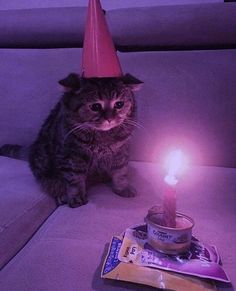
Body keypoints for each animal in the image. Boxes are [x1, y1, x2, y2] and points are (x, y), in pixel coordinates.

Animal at [0, 74, 142, 209]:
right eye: (95, 106)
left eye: (119, 104)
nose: (110, 119)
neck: (103, 137)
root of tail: (32, 148)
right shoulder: (71, 157)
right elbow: (75, 179)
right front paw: (76, 197)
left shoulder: (121, 151)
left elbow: (121, 172)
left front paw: (122, 187)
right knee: (51, 183)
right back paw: (61, 194)